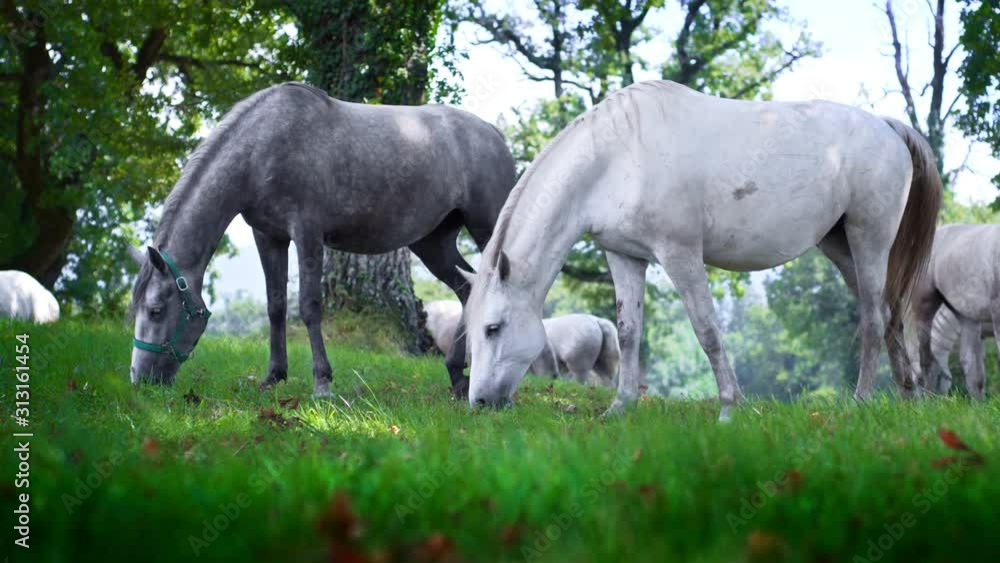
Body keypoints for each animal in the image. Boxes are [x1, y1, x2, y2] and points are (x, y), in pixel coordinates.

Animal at [128, 82, 516, 396]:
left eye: (156, 310)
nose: (140, 380)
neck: (263, 147)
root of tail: (493, 133)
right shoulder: (269, 236)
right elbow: (275, 306)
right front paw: (273, 377)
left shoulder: (307, 233)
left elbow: (309, 306)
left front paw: (322, 383)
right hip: (433, 244)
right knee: (467, 290)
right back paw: (458, 377)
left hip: (487, 229)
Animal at [460, 79, 942, 421]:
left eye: (493, 328)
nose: (479, 401)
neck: (616, 158)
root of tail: (886, 126)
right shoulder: (624, 257)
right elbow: (629, 332)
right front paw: (619, 408)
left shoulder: (680, 254)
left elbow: (707, 330)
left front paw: (729, 407)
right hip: (841, 248)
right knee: (889, 315)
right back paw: (909, 398)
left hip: (869, 240)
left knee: (872, 320)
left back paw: (861, 402)